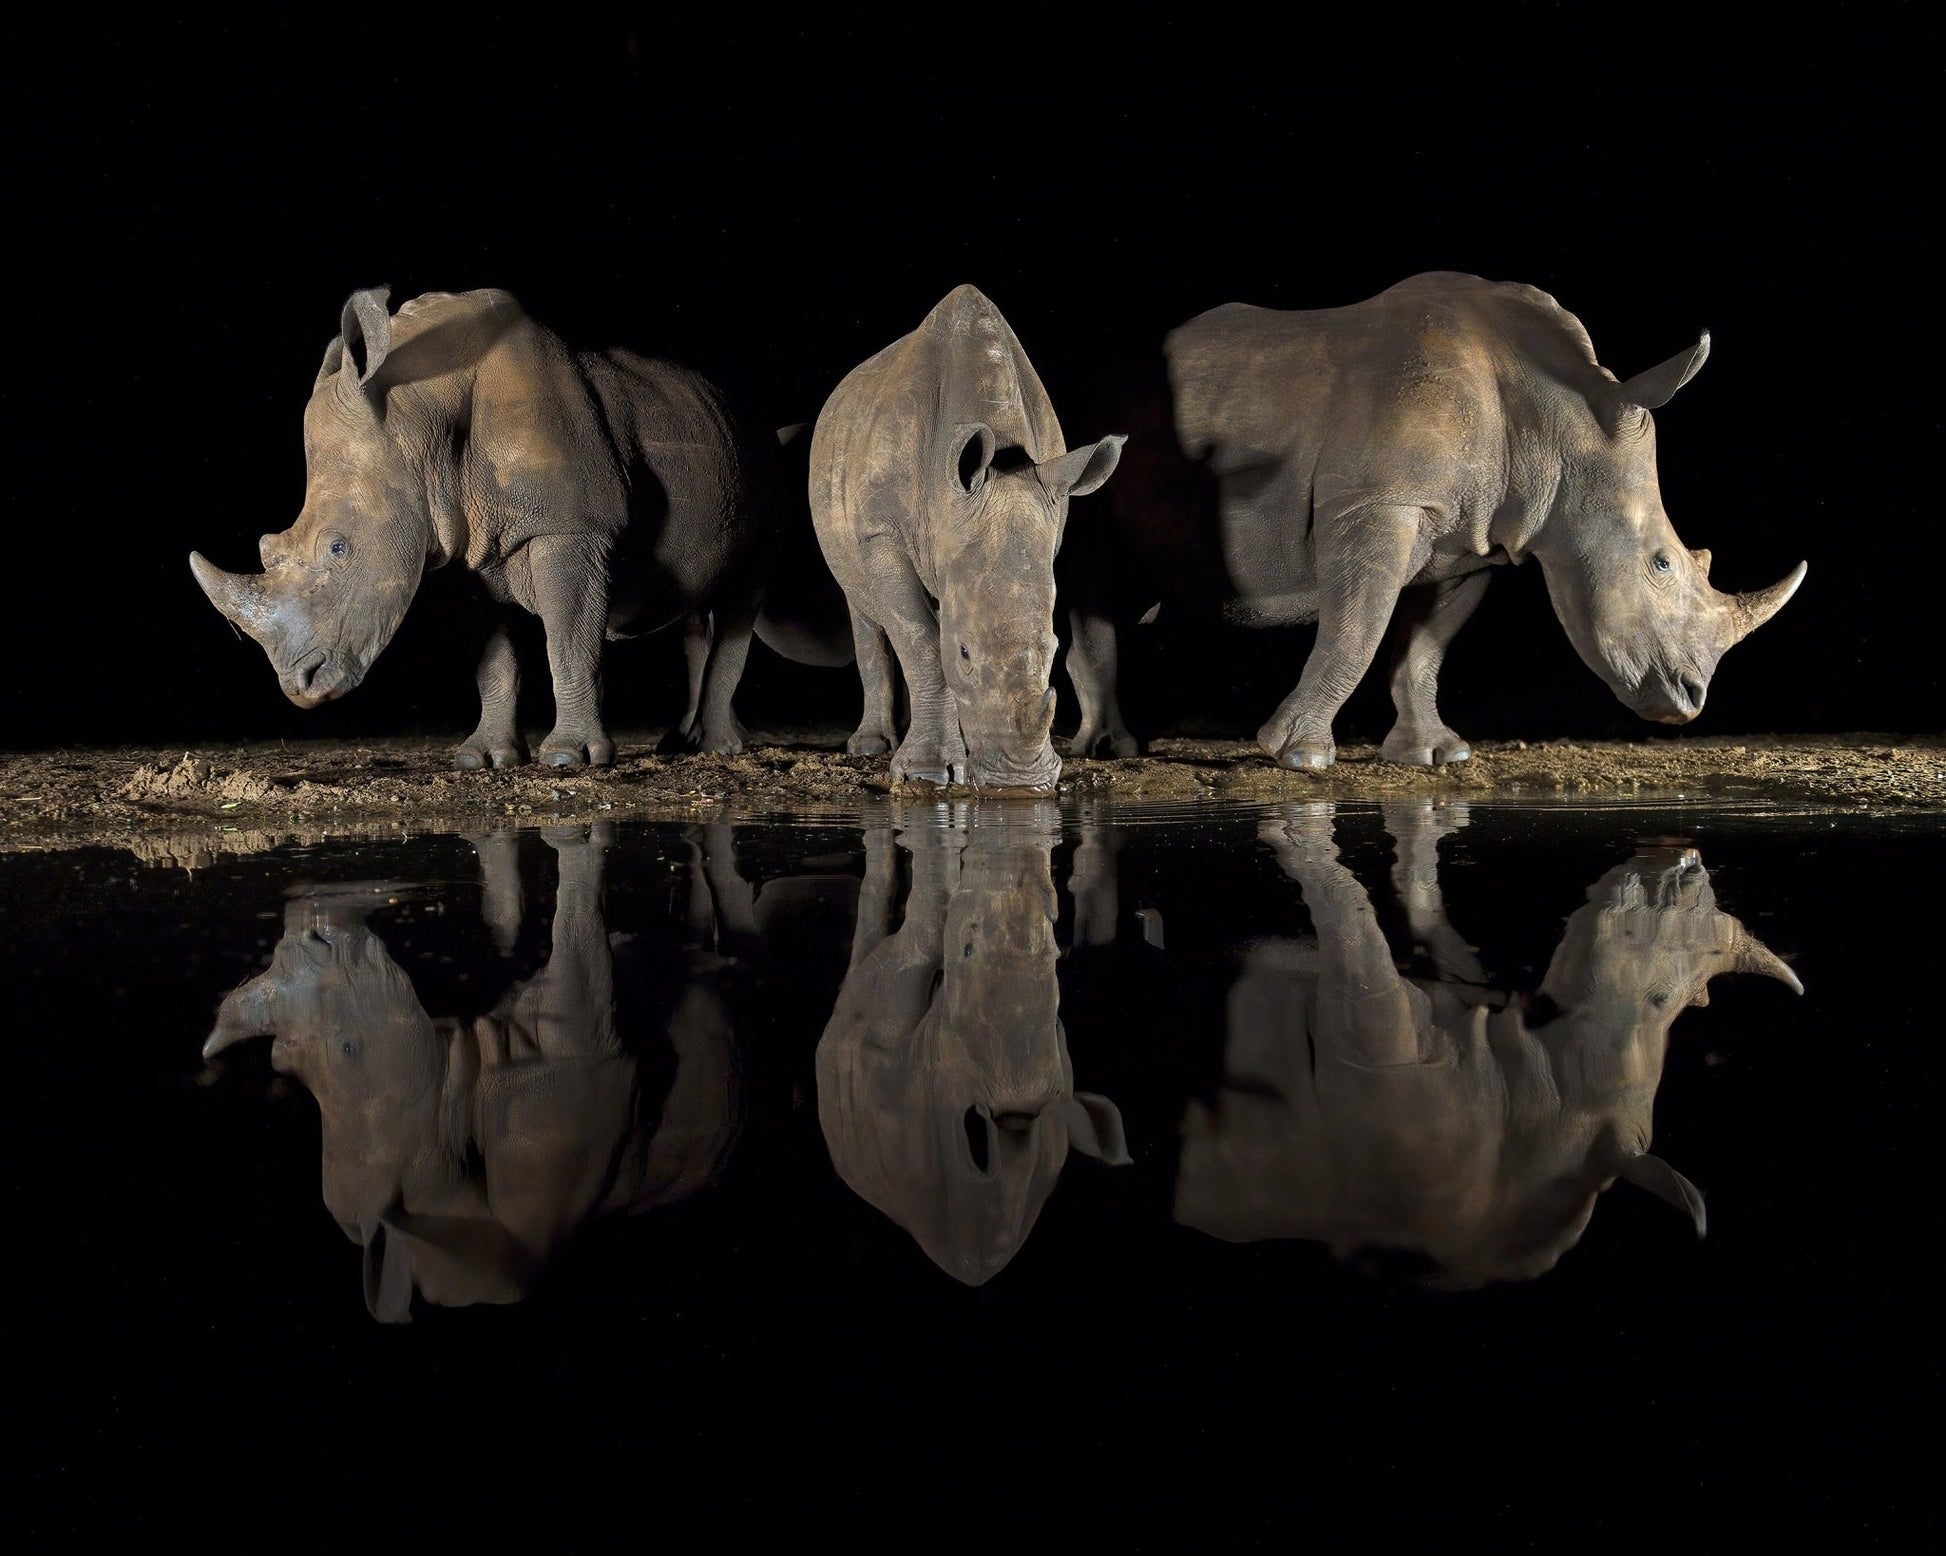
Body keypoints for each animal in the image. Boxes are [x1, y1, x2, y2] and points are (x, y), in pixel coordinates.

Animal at [189, 286, 804, 768]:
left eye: (339, 548)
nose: (301, 688)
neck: (417, 417)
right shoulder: (468, 552)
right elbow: (495, 662)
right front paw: (483, 758)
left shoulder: (571, 528)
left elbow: (568, 640)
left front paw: (569, 759)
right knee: (695, 608)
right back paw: (681, 743)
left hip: (771, 465)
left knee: (743, 595)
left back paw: (719, 749)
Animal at [810, 285, 1126, 789]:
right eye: (964, 653)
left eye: (1055, 649)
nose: (1020, 783)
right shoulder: (882, 534)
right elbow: (919, 639)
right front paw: (926, 775)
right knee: (864, 606)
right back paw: (871, 747)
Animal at [1063, 272, 1807, 767]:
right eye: (1661, 562)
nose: (1690, 700)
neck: (1562, 420)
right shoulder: (1378, 506)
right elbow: (1357, 629)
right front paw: (1297, 755)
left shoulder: (1474, 542)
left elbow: (1422, 648)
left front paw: (1436, 755)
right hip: (1086, 440)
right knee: (1087, 556)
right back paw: (1108, 749)